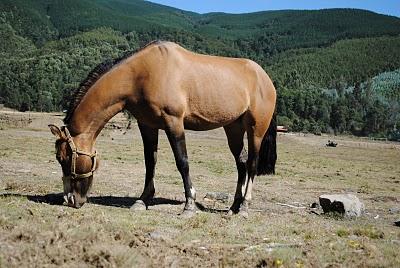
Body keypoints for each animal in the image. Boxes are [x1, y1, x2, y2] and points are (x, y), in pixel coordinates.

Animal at [48, 41, 276, 218]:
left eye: (63, 158)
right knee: (241, 163)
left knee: (252, 164)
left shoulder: (173, 122)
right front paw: (142, 200)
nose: (70, 199)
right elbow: (150, 162)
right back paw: (233, 207)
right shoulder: (147, 125)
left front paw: (189, 205)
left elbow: (182, 162)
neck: (141, 74)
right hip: (233, 128)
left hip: (256, 130)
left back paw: (244, 207)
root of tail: (264, 77)